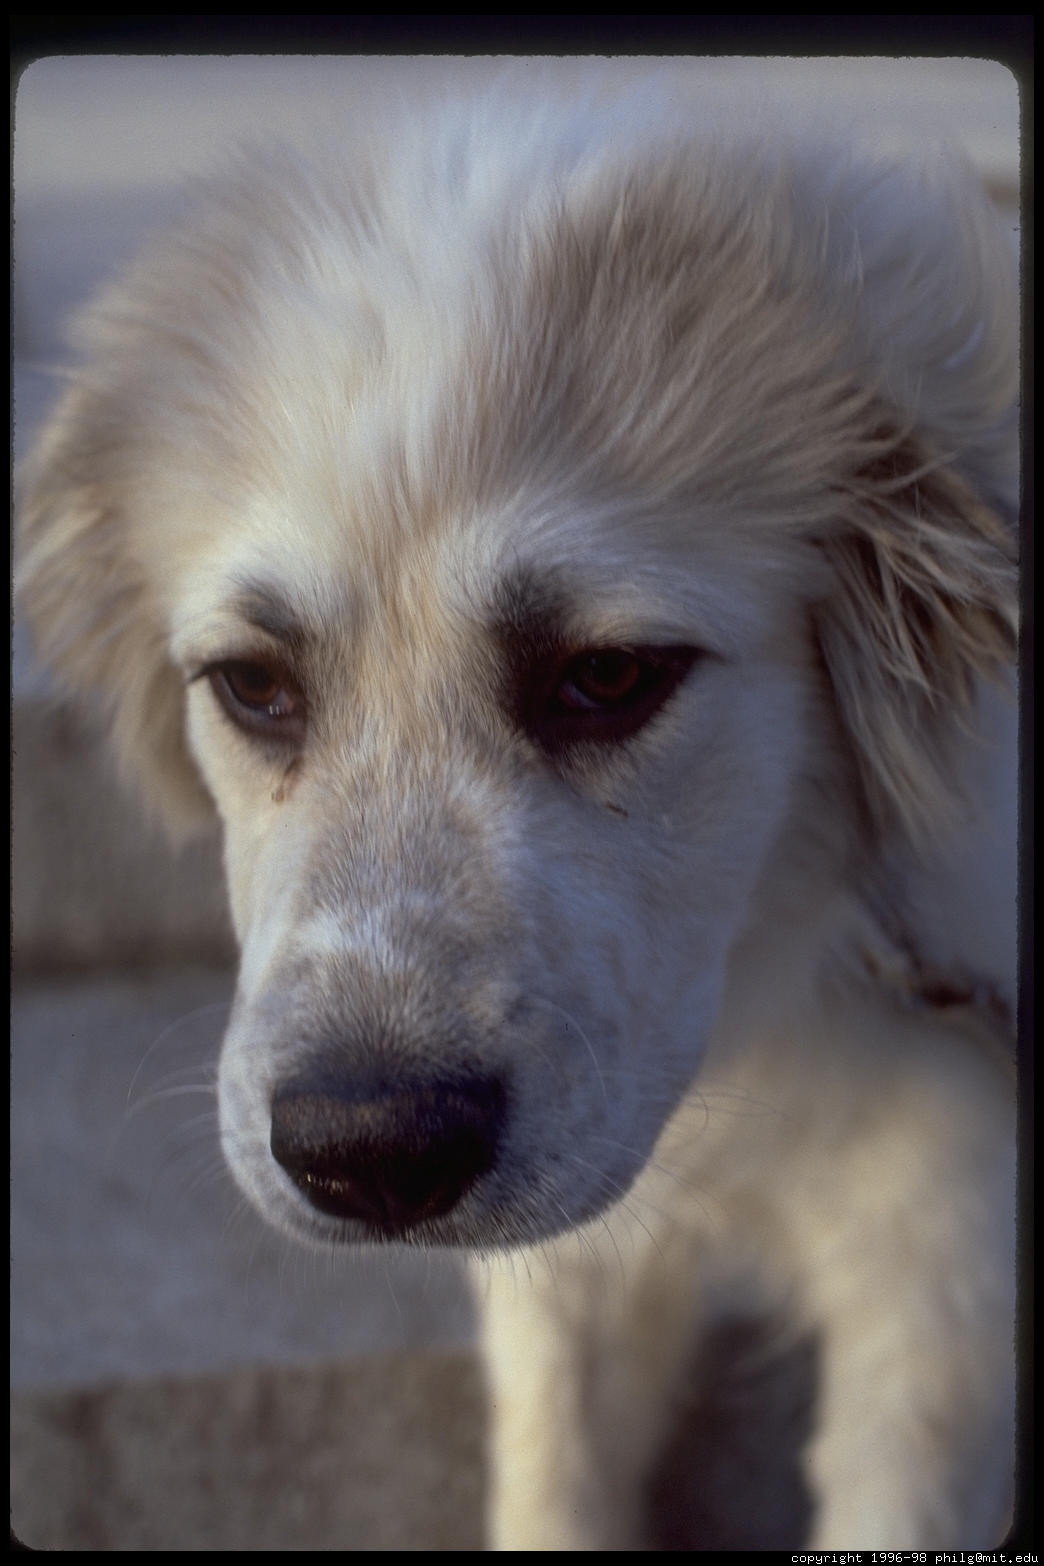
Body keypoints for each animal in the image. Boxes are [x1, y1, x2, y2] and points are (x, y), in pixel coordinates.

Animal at [17, 76, 1018, 1549]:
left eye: (608, 676)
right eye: (253, 685)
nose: (365, 1157)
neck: (771, 989)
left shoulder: (942, 1277)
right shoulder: (573, 1269)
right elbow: (554, 1478)